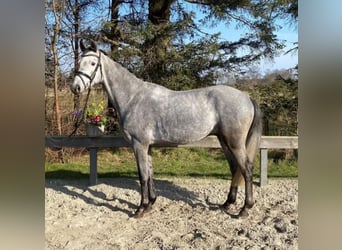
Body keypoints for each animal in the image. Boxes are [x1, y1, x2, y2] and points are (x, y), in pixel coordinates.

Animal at [69, 40, 262, 218]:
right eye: (79, 62)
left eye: (92, 63)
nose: (75, 87)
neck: (133, 98)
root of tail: (246, 97)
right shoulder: (147, 146)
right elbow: (150, 174)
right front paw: (150, 204)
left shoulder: (139, 145)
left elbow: (142, 176)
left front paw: (140, 209)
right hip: (224, 141)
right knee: (235, 168)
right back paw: (228, 203)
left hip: (235, 142)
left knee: (246, 169)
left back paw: (245, 209)